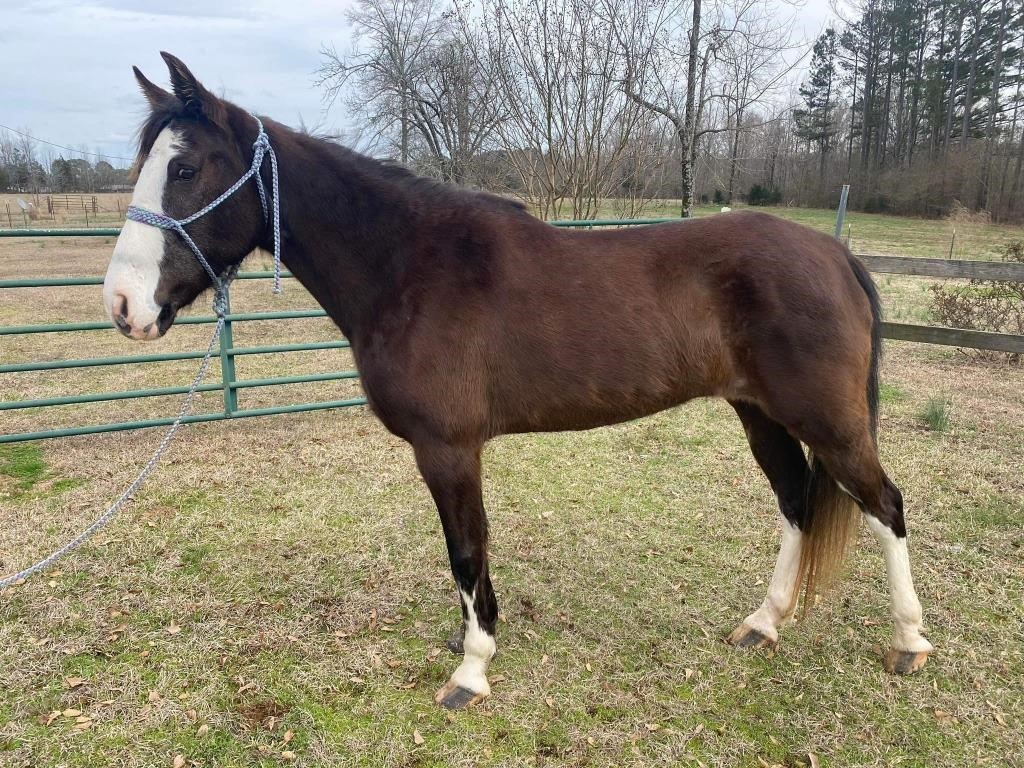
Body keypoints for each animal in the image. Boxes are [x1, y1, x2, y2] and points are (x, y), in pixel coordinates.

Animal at [103, 54, 937, 712]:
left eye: (185, 168)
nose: (121, 305)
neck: (409, 265)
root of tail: (835, 254)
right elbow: (467, 555)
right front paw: (471, 641)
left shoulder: (448, 448)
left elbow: (466, 550)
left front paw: (471, 673)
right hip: (761, 414)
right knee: (797, 502)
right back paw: (763, 625)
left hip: (827, 420)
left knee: (885, 505)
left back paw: (909, 641)